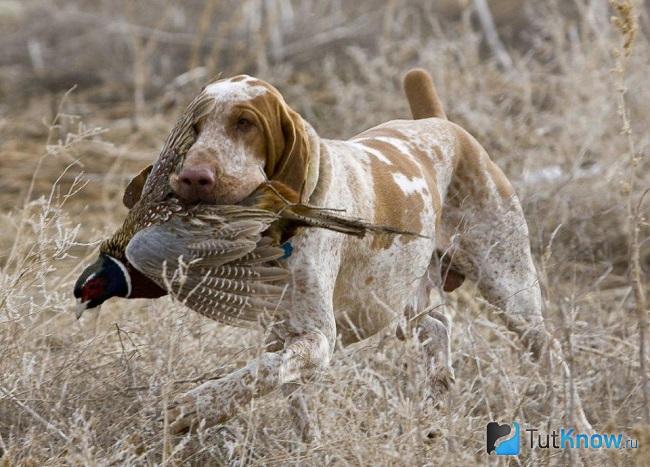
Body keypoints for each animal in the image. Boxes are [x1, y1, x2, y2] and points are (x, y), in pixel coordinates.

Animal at [163, 68, 548, 438]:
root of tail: (442, 124)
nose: (192, 178)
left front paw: (197, 406)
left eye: (245, 123)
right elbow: (286, 390)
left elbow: (262, 372)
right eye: (195, 128)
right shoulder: (284, 334)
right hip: (407, 299)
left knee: (548, 351)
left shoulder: (317, 337)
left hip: (513, 295)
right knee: (437, 327)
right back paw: (434, 406)